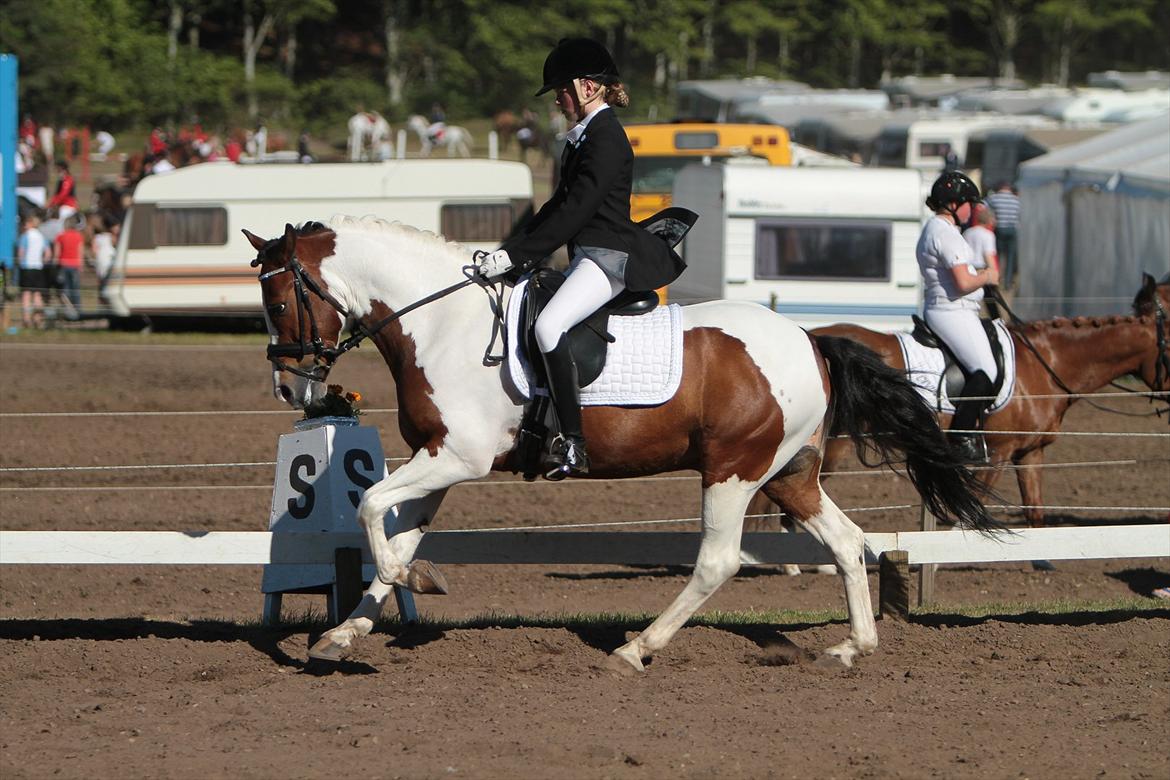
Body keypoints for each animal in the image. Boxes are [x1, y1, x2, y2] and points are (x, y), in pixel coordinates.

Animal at [244, 218, 996, 673]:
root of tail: (811, 341)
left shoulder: (458, 458)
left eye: (278, 303)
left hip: (733, 469)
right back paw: (852, 647)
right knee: (845, 541)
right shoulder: (440, 461)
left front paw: (411, 584)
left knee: (719, 561)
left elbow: (371, 506)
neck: (444, 321)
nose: (288, 385)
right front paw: (345, 632)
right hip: (789, 474)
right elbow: (395, 531)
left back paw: (638, 649)